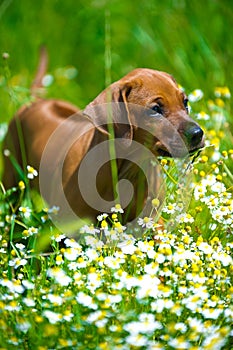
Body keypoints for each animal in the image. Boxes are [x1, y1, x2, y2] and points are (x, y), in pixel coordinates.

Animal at [1, 55, 204, 224]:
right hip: (12, 178)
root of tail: (35, 102)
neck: (128, 168)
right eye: (155, 110)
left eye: (185, 102)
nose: (198, 134)